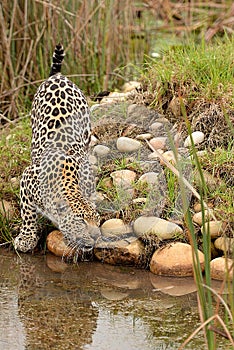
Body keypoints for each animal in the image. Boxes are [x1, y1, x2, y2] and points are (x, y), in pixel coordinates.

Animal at [13, 43, 100, 253]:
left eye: (98, 221)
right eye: (81, 221)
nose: (96, 238)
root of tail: (57, 77)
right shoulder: (27, 178)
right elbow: (27, 213)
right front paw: (26, 239)